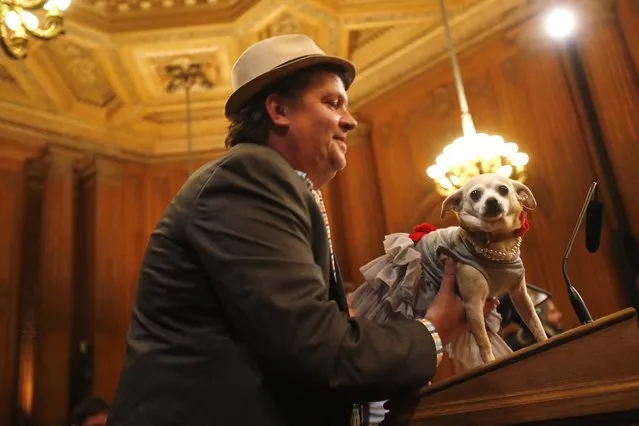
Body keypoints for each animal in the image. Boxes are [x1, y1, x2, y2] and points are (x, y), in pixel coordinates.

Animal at [352, 172, 548, 366]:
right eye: (475, 194)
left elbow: (534, 323)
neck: (497, 243)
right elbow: (483, 342)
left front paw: (544, 341)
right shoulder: (473, 304)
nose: (492, 201)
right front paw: (490, 361)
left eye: (503, 189)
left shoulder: (520, 295)